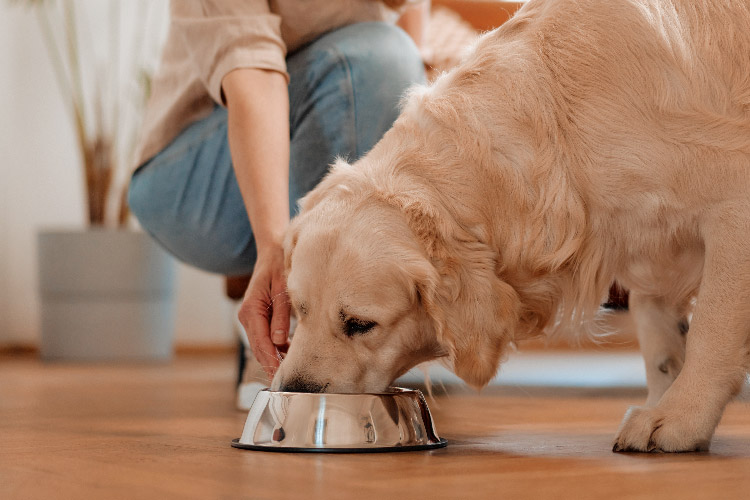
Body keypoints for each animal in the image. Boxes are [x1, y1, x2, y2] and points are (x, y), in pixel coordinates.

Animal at [270, 0, 750, 454]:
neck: (560, 126)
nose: (291, 392)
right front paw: (663, 401)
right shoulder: (650, 240)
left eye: (360, 324)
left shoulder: (733, 206)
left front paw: (678, 418)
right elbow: (659, 335)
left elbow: (710, 330)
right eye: (298, 310)